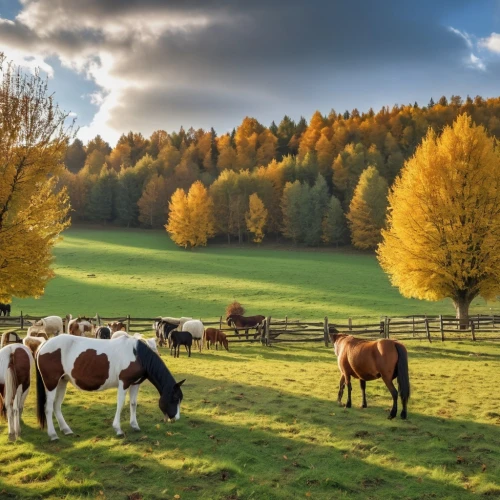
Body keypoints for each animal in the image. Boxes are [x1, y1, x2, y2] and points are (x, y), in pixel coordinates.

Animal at [35, 334, 186, 440]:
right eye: (174, 398)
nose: (176, 418)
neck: (137, 355)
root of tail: (44, 344)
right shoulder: (124, 383)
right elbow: (121, 404)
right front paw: (118, 429)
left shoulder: (135, 384)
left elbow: (133, 404)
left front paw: (135, 425)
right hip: (51, 383)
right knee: (48, 407)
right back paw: (53, 434)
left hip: (62, 382)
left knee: (56, 406)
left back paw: (66, 430)